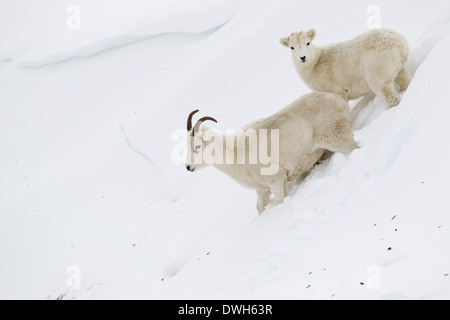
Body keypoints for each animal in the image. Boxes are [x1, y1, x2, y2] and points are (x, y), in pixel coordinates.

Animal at [185, 91, 356, 214]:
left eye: (197, 146)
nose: (188, 167)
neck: (236, 152)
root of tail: (338, 99)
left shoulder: (277, 181)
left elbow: (280, 201)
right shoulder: (262, 190)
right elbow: (260, 208)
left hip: (336, 137)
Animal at [282, 28, 412, 109]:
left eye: (308, 43)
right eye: (292, 47)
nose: (302, 57)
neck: (315, 65)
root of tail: (399, 43)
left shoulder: (334, 86)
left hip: (377, 65)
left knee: (383, 88)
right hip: (395, 64)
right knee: (403, 77)